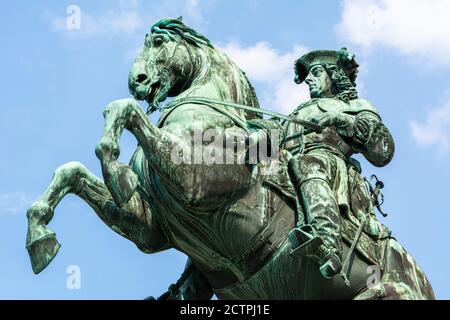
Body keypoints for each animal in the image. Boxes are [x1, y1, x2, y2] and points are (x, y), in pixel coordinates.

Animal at [26, 18, 434, 300]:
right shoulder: (149, 227)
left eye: (158, 41)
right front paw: (39, 235)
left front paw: (114, 166)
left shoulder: (197, 181)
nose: (137, 81)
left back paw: (325, 248)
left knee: (313, 167)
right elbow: (71, 171)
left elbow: (124, 110)